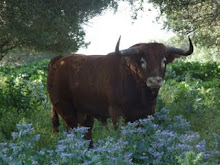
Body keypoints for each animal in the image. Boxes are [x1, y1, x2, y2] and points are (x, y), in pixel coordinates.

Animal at [46, 36, 192, 143]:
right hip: (66, 110)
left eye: (164, 61)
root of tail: (59, 60)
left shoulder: (147, 114)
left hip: (85, 114)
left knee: (87, 133)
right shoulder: (117, 114)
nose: (155, 81)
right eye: (142, 61)